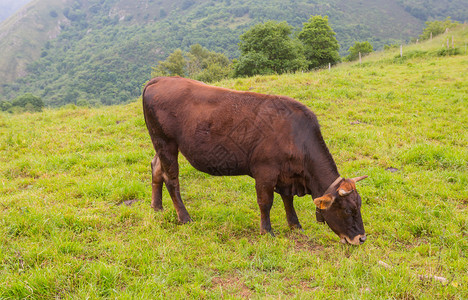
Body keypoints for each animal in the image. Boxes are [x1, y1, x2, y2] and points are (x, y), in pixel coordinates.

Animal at [141, 76, 368, 245]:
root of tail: (160, 79)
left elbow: (288, 200)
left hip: (161, 145)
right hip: (166, 142)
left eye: (359, 205)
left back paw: (157, 207)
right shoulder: (265, 172)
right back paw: (185, 217)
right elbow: (265, 202)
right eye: (348, 210)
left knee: (156, 168)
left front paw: (295, 225)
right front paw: (267, 231)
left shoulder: (287, 175)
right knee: (172, 180)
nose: (361, 238)